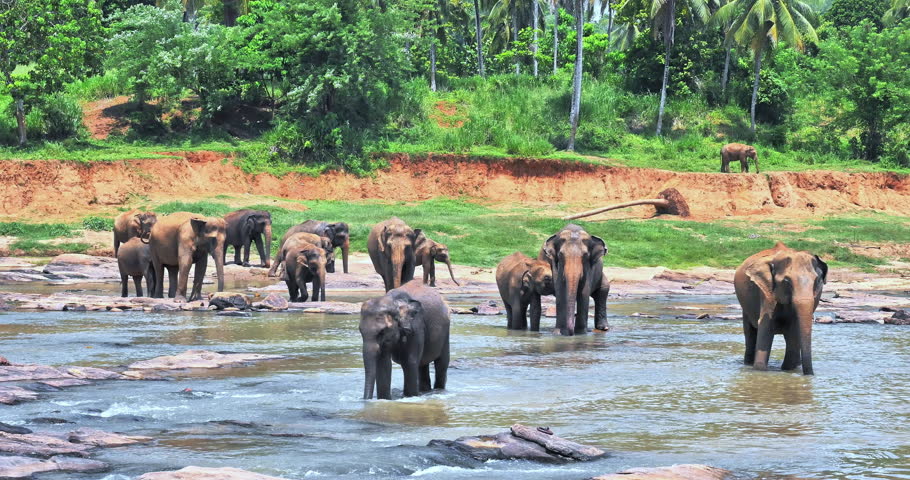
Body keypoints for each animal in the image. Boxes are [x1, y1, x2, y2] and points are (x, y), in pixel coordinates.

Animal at [734, 241, 827, 375]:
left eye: (816, 281)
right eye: (787, 281)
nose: (811, 375)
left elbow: (794, 329)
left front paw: (789, 369)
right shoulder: (767, 292)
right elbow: (766, 325)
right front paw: (759, 370)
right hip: (745, 306)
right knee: (750, 332)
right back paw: (748, 364)